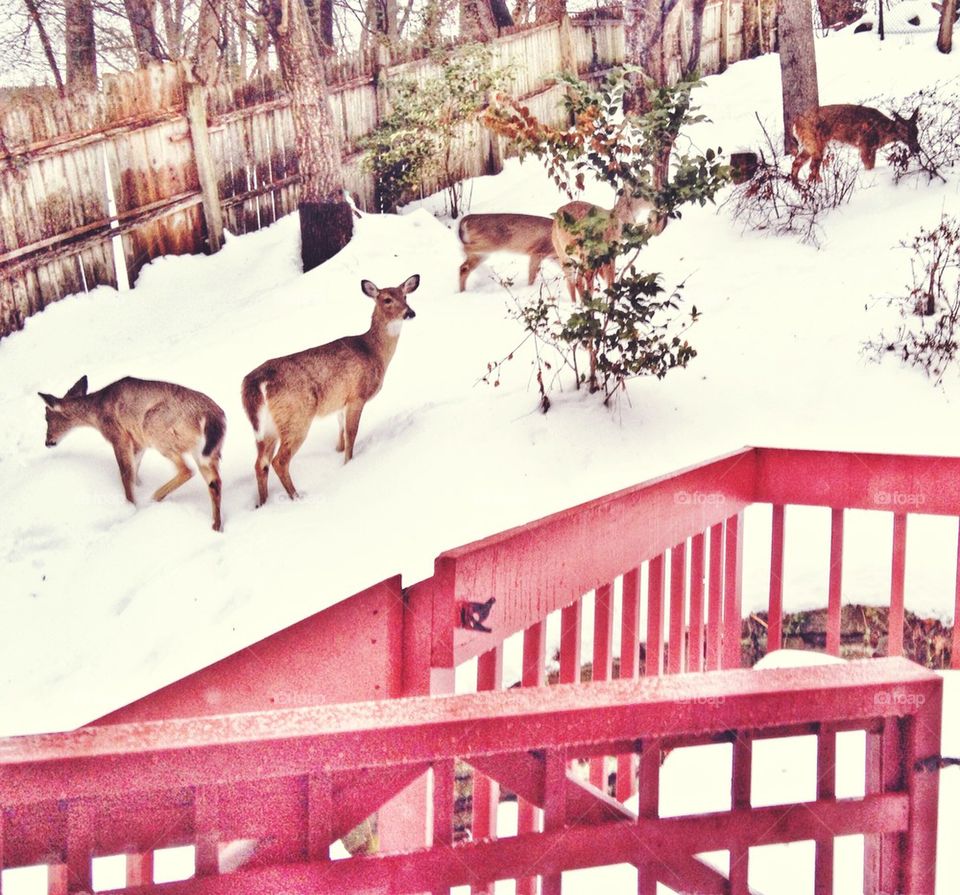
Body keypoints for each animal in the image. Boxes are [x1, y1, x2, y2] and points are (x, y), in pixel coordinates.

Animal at [39, 376, 226, 531]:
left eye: (47, 417)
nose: (48, 442)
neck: (97, 413)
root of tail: (213, 417)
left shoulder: (119, 435)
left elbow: (125, 473)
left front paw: (131, 506)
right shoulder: (138, 441)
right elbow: (135, 469)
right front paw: (139, 488)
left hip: (154, 428)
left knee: (187, 470)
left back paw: (154, 498)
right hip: (206, 452)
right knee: (214, 481)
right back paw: (216, 526)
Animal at [241, 275, 419, 506]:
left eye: (405, 296)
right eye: (387, 299)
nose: (410, 312)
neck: (373, 351)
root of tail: (254, 383)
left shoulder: (340, 403)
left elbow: (341, 434)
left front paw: (339, 455)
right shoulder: (356, 395)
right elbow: (351, 433)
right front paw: (348, 464)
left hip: (266, 428)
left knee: (260, 463)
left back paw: (262, 504)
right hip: (296, 417)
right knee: (279, 460)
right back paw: (296, 497)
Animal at [790, 104, 921, 182]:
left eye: (917, 132)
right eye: (906, 133)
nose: (917, 149)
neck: (881, 132)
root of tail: (795, 123)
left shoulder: (871, 147)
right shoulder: (866, 145)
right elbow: (869, 166)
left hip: (808, 145)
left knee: (796, 163)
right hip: (815, 143)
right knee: (812, 166)